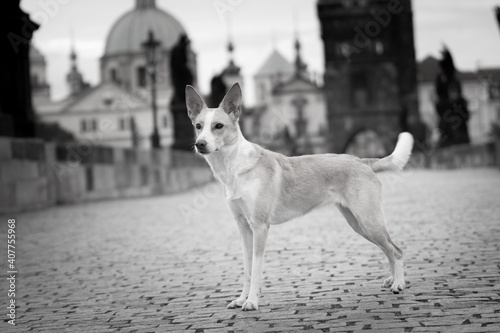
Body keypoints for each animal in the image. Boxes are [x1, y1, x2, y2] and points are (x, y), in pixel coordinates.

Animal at [186, 81, 412, 310]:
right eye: (198, 126)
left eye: (218, 126)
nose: (200, 144)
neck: (235, 167)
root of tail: (361, 161)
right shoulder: (243, 227)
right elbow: (247, 268)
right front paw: (242, 299)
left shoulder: (259, 227)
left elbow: (256, 268)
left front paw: (251, 302)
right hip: (359, 224)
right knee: (388, 250)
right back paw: (391, 280)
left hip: (369, 221)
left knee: (396, 251)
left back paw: (399, 284)